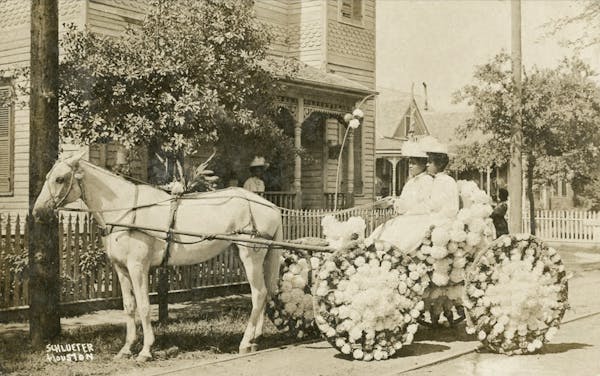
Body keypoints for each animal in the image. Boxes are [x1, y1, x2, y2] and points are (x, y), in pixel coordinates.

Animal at [32, 153, 284, 362]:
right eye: (48, 177)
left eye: (60, 179)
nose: (37, 212)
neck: (126, 210)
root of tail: (271, 206)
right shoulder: (121, 269)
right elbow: (129, 306)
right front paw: (126, 349)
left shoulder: (138, 268)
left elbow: (144, 306)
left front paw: (145, 351)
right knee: (264, 293)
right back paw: (255, 339)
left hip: (251, 255)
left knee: (258, 293)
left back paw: (245, 342)